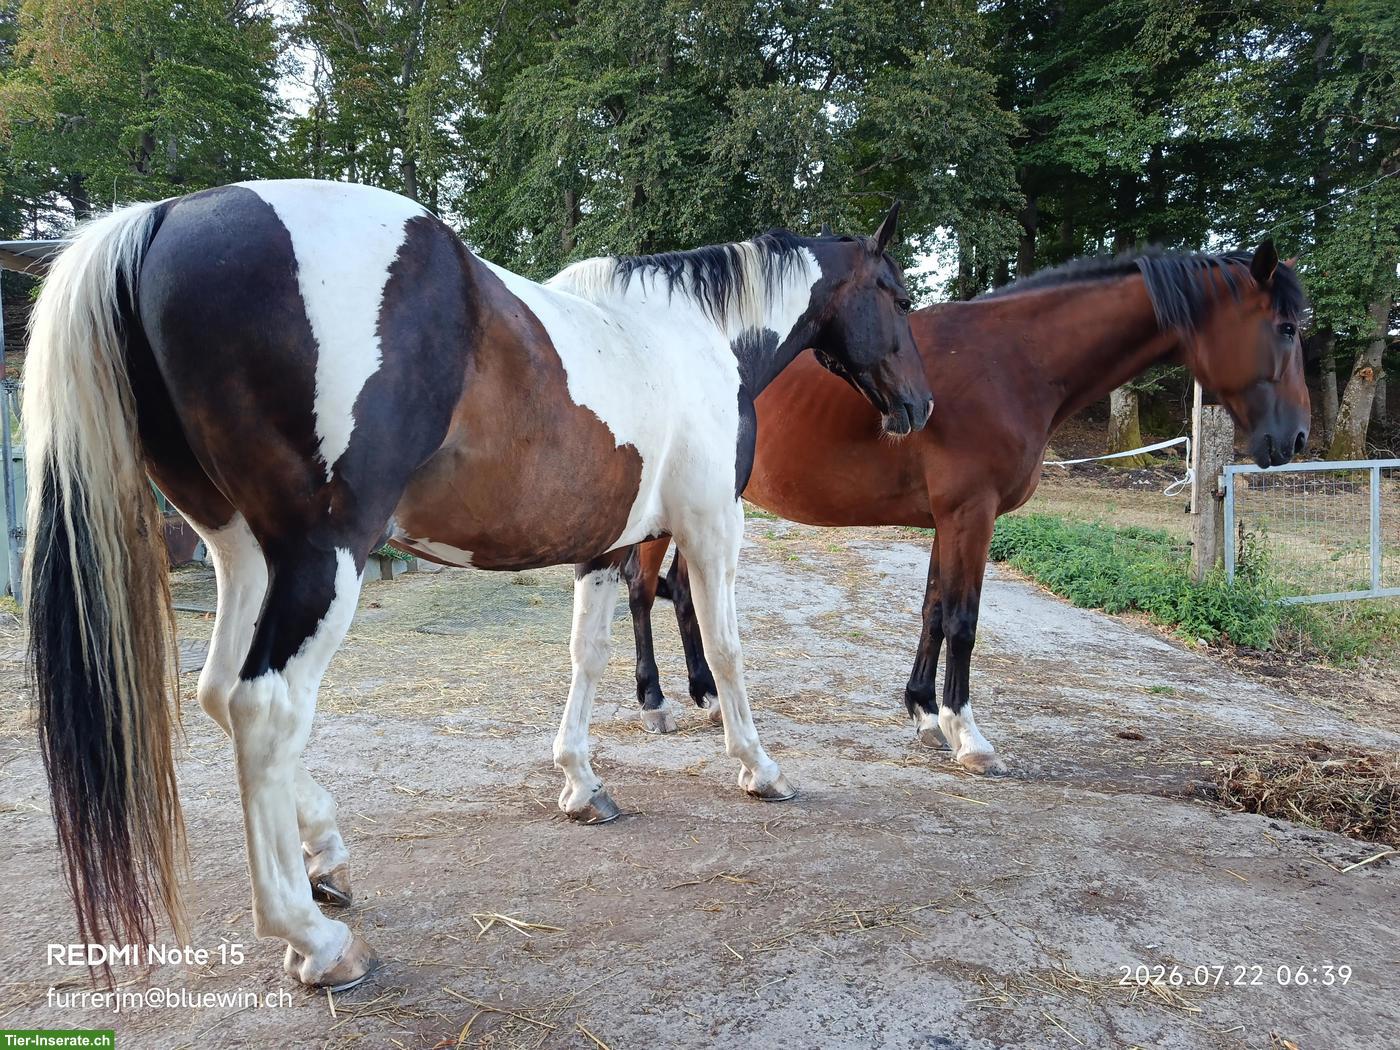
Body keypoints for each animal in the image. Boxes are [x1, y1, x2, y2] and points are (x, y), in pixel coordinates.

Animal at [23, 179, 931, 990]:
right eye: (897, 294)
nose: (918, 408)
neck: (691, 336)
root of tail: (165, 215)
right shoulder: (711, 524)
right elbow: (729, 649)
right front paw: (760, 769)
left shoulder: (605, 545)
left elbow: (586, 656)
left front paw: (582, 784)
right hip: (323, 557)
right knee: (265, 708)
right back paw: (318, 943)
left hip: (244, 552)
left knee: (218, 692)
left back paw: (327, 856)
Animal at [618, 243, 1310, 776]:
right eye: (1285, 328)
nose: (1297, 439)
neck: (1017, 360)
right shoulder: (971, 515)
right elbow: (964, 620)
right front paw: (968, 734)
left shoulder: (945, 521)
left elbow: (933, 610)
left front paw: (925, 711)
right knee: (643, 589)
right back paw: (655, 700)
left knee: (684, 594)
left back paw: (707, 695)